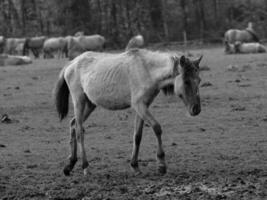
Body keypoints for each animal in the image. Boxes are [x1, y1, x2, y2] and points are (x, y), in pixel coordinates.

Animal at [52, 48, 203, 175]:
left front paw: (135, 165)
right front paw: (161, 164)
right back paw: (85, 166)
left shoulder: (142, 107)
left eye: (199, 80)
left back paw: (69, 165)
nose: (196, 109)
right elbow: (157, 128)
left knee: (73, 124)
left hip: (90, 104)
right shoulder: (139, 105)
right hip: (79, 101)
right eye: (186, 81)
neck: (147, 70)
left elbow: (137, 136)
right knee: (79, 131)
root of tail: (71, 63)